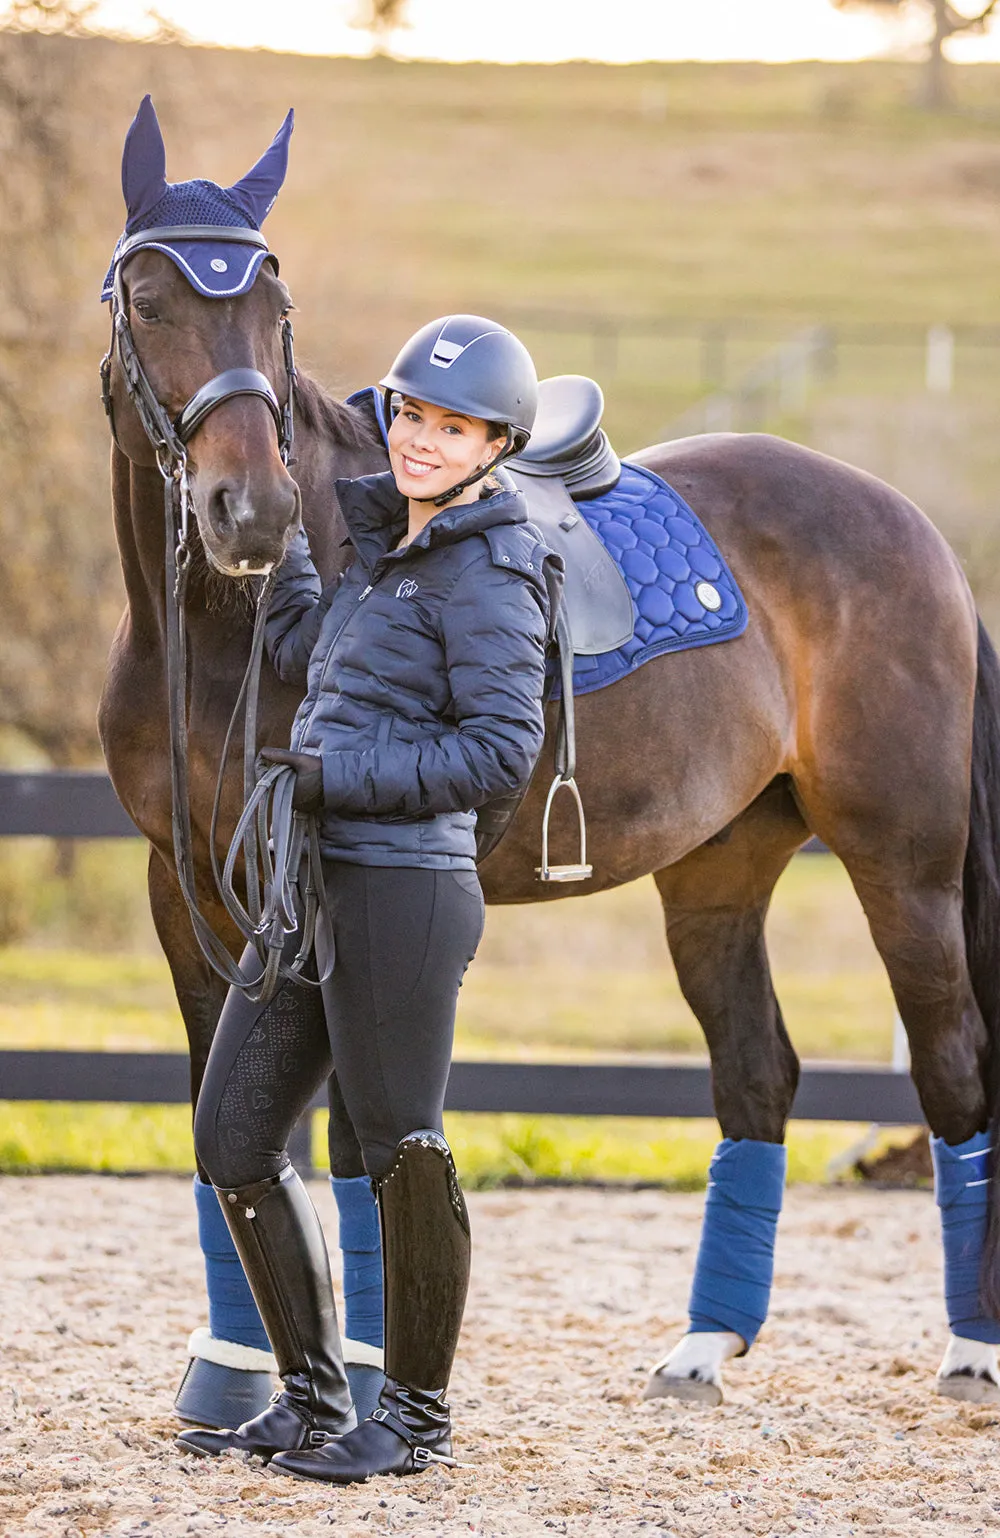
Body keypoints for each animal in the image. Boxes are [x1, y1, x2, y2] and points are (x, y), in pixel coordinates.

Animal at [101, 230, 1000, 1414]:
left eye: (273, 312)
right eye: (150, 303)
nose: (249, 512)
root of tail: (918, 532)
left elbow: (348, 1141)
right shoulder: (185, 887)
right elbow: (229, 1126)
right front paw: (234, 1381)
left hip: (903, 866)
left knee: (952, 1068)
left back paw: (972, 1351)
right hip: (718, 875)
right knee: (756, 1073)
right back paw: (701, 1348)